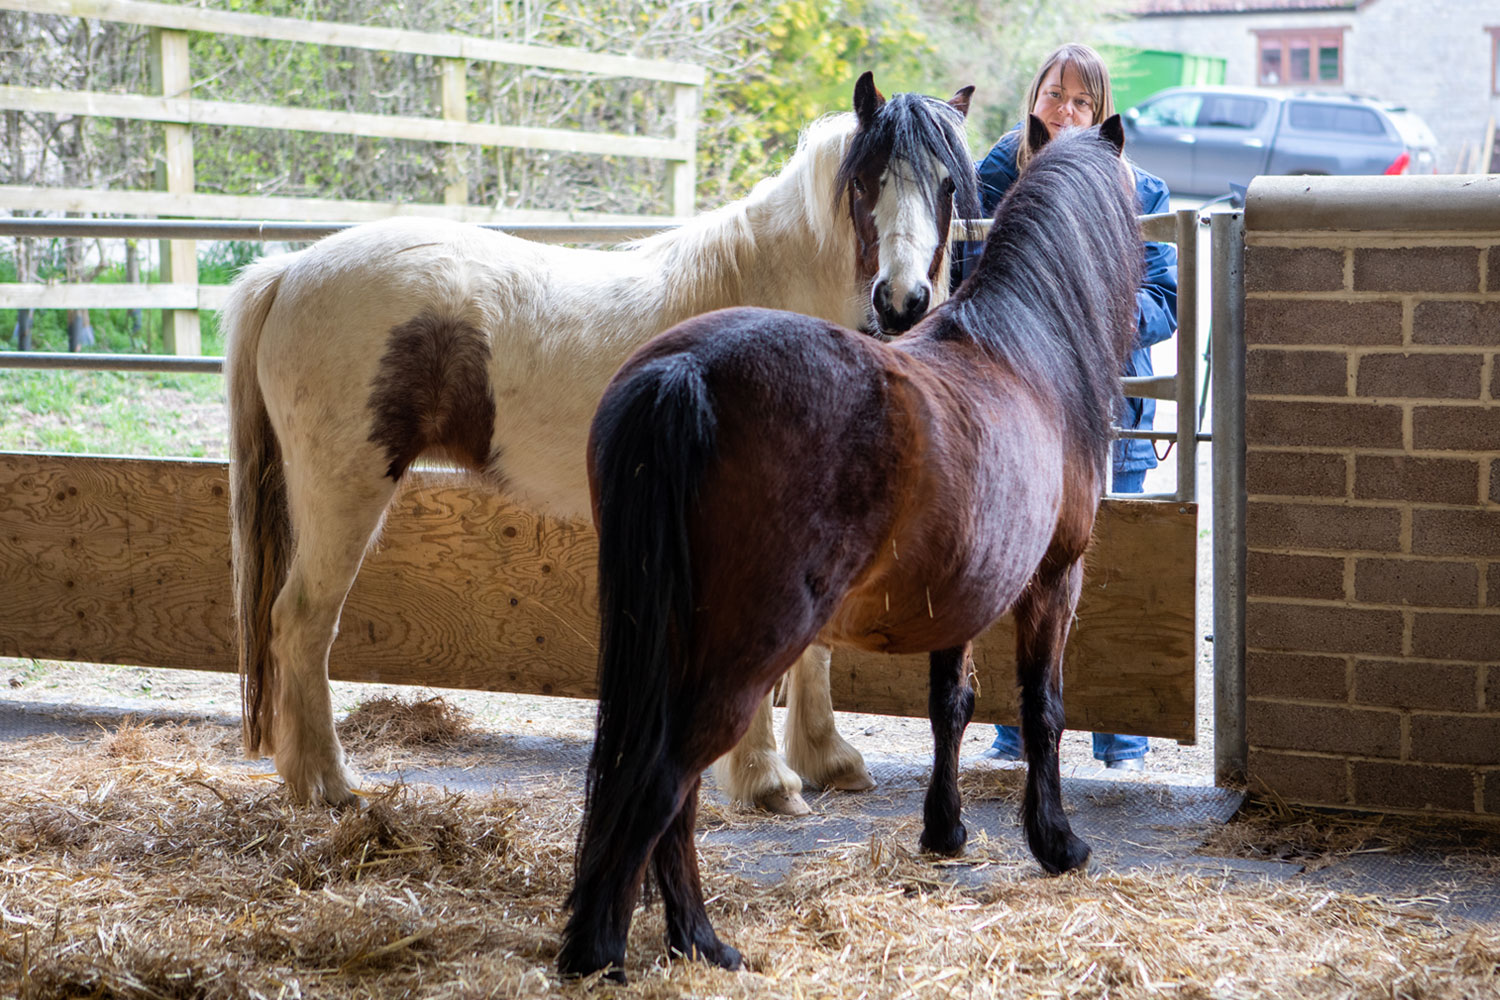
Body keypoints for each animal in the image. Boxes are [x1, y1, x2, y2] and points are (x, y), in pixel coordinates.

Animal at [219, 76, 972, 815]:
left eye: (947, 185)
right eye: (866, 180)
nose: (902, 300)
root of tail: (290, 270)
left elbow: (811, 647)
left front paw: (825, 760)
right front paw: (765, 780)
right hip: (344, 492)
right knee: (302, 623)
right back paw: (327, 783)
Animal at [564, 115, 1146, 977]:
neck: (1022, 352)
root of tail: (685, 371)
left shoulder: (959, 596)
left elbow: (951, 706)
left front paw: (945, 831)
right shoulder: (1052, 580)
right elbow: (1042, 709)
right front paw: (1056, 843)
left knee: (677, 790)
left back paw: (697, 941)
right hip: (742, 651)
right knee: (666, 778)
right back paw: (616, 948)